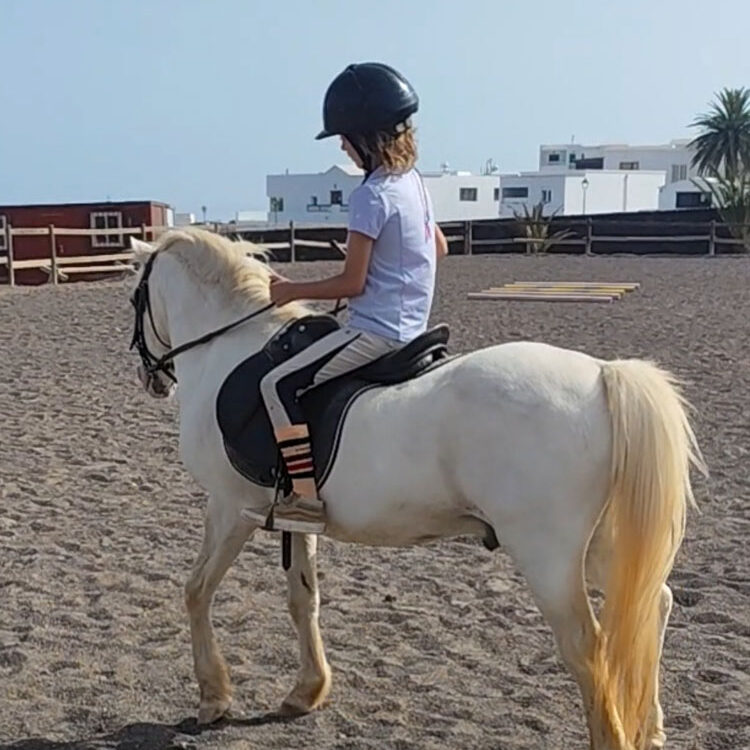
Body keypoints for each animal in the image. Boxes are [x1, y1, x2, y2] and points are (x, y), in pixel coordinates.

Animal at [126, 227, 705, 750]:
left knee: (588, 645)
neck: (228, 349)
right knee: (651, 604)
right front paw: (307, 691)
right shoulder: (295, 514)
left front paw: (213, 698)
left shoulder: (231, 507)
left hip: (548, 555)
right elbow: (302, 599)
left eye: (134, 297)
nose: (152, 380)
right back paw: (651, 729)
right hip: (601, 546)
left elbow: (197, 589)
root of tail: (603, 374)